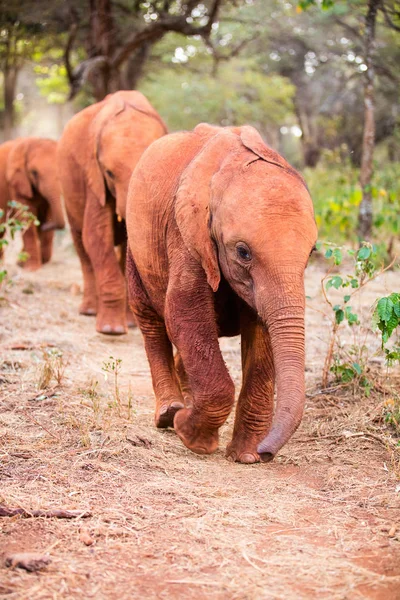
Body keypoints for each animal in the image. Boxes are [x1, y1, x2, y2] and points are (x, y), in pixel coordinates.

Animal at [0, 136, 65, 270]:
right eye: (34, 172)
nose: (43, 226)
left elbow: (49, 214)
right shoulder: (16, 183)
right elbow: (26, 218)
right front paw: (32, 268)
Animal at [57, 89, 167, 336]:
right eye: (109, 173)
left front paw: (129, 325)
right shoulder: (94, 177)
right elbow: (96, 236)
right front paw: (111, 330)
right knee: (82, 245)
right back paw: (89, 311)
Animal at [126, 123, 318, 464]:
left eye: (312, 252)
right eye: (243, 252)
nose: (268, 453)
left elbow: (261, 330)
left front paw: (246, 456)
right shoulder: (185, 233)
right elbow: (184, 314)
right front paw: (190, 435)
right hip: (136, 247)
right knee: (150, 319)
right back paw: (169, 413)